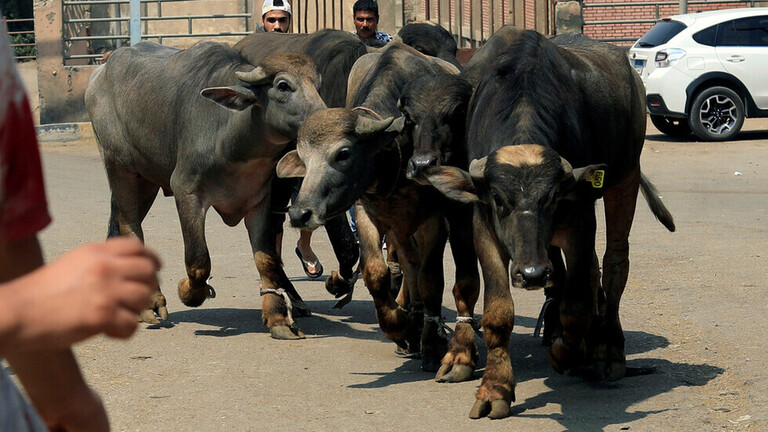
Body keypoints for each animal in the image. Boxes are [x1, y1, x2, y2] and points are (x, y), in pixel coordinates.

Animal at [85, 40, 326, 340]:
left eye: (318, 84)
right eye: (283, 85)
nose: (324, 120)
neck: (232, 141)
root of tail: (99, 73)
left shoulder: (259, 201)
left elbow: (267, 260)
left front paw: (278, 318)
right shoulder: (187, 191)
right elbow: (199, 260)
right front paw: (187, 292)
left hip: (146, 180)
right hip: (119, 167)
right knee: (131, 227)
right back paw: (147, 305)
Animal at [276, 42, 480, 372]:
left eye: (343, 153)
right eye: (304, 160)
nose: (299, 213)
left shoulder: (432, 219)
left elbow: (430, 278)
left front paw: (431, 341)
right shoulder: (368, 212)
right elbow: (375, 272)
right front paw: (400, 326)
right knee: (405, 264)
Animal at [424, 31, 676, 418]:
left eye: (554, 197)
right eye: (499, 199)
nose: (531, 273)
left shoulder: (580, 219)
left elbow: (578, 304)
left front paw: (564, 351)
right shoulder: (484, 226)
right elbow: (498, 312)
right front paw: (495, 388)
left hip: (626, 176)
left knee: (613, 265)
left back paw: (608, 351)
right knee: (579, 273)